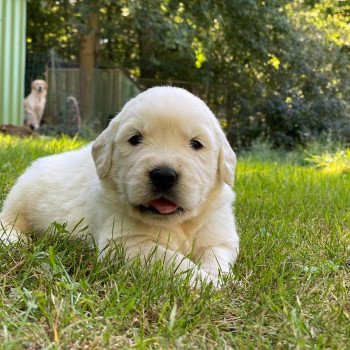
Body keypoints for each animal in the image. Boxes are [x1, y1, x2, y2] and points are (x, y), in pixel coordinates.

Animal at [0, 87, 239, 288]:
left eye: (196, 144)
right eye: (135, 139)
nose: (163, 175)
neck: (177, 224)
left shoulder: (220, 237)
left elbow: (217, 258)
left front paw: (220, 278)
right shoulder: (126, 244)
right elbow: (174, 262)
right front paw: (208, 283)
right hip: (21, 195)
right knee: (9, 219)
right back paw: (14, 238)